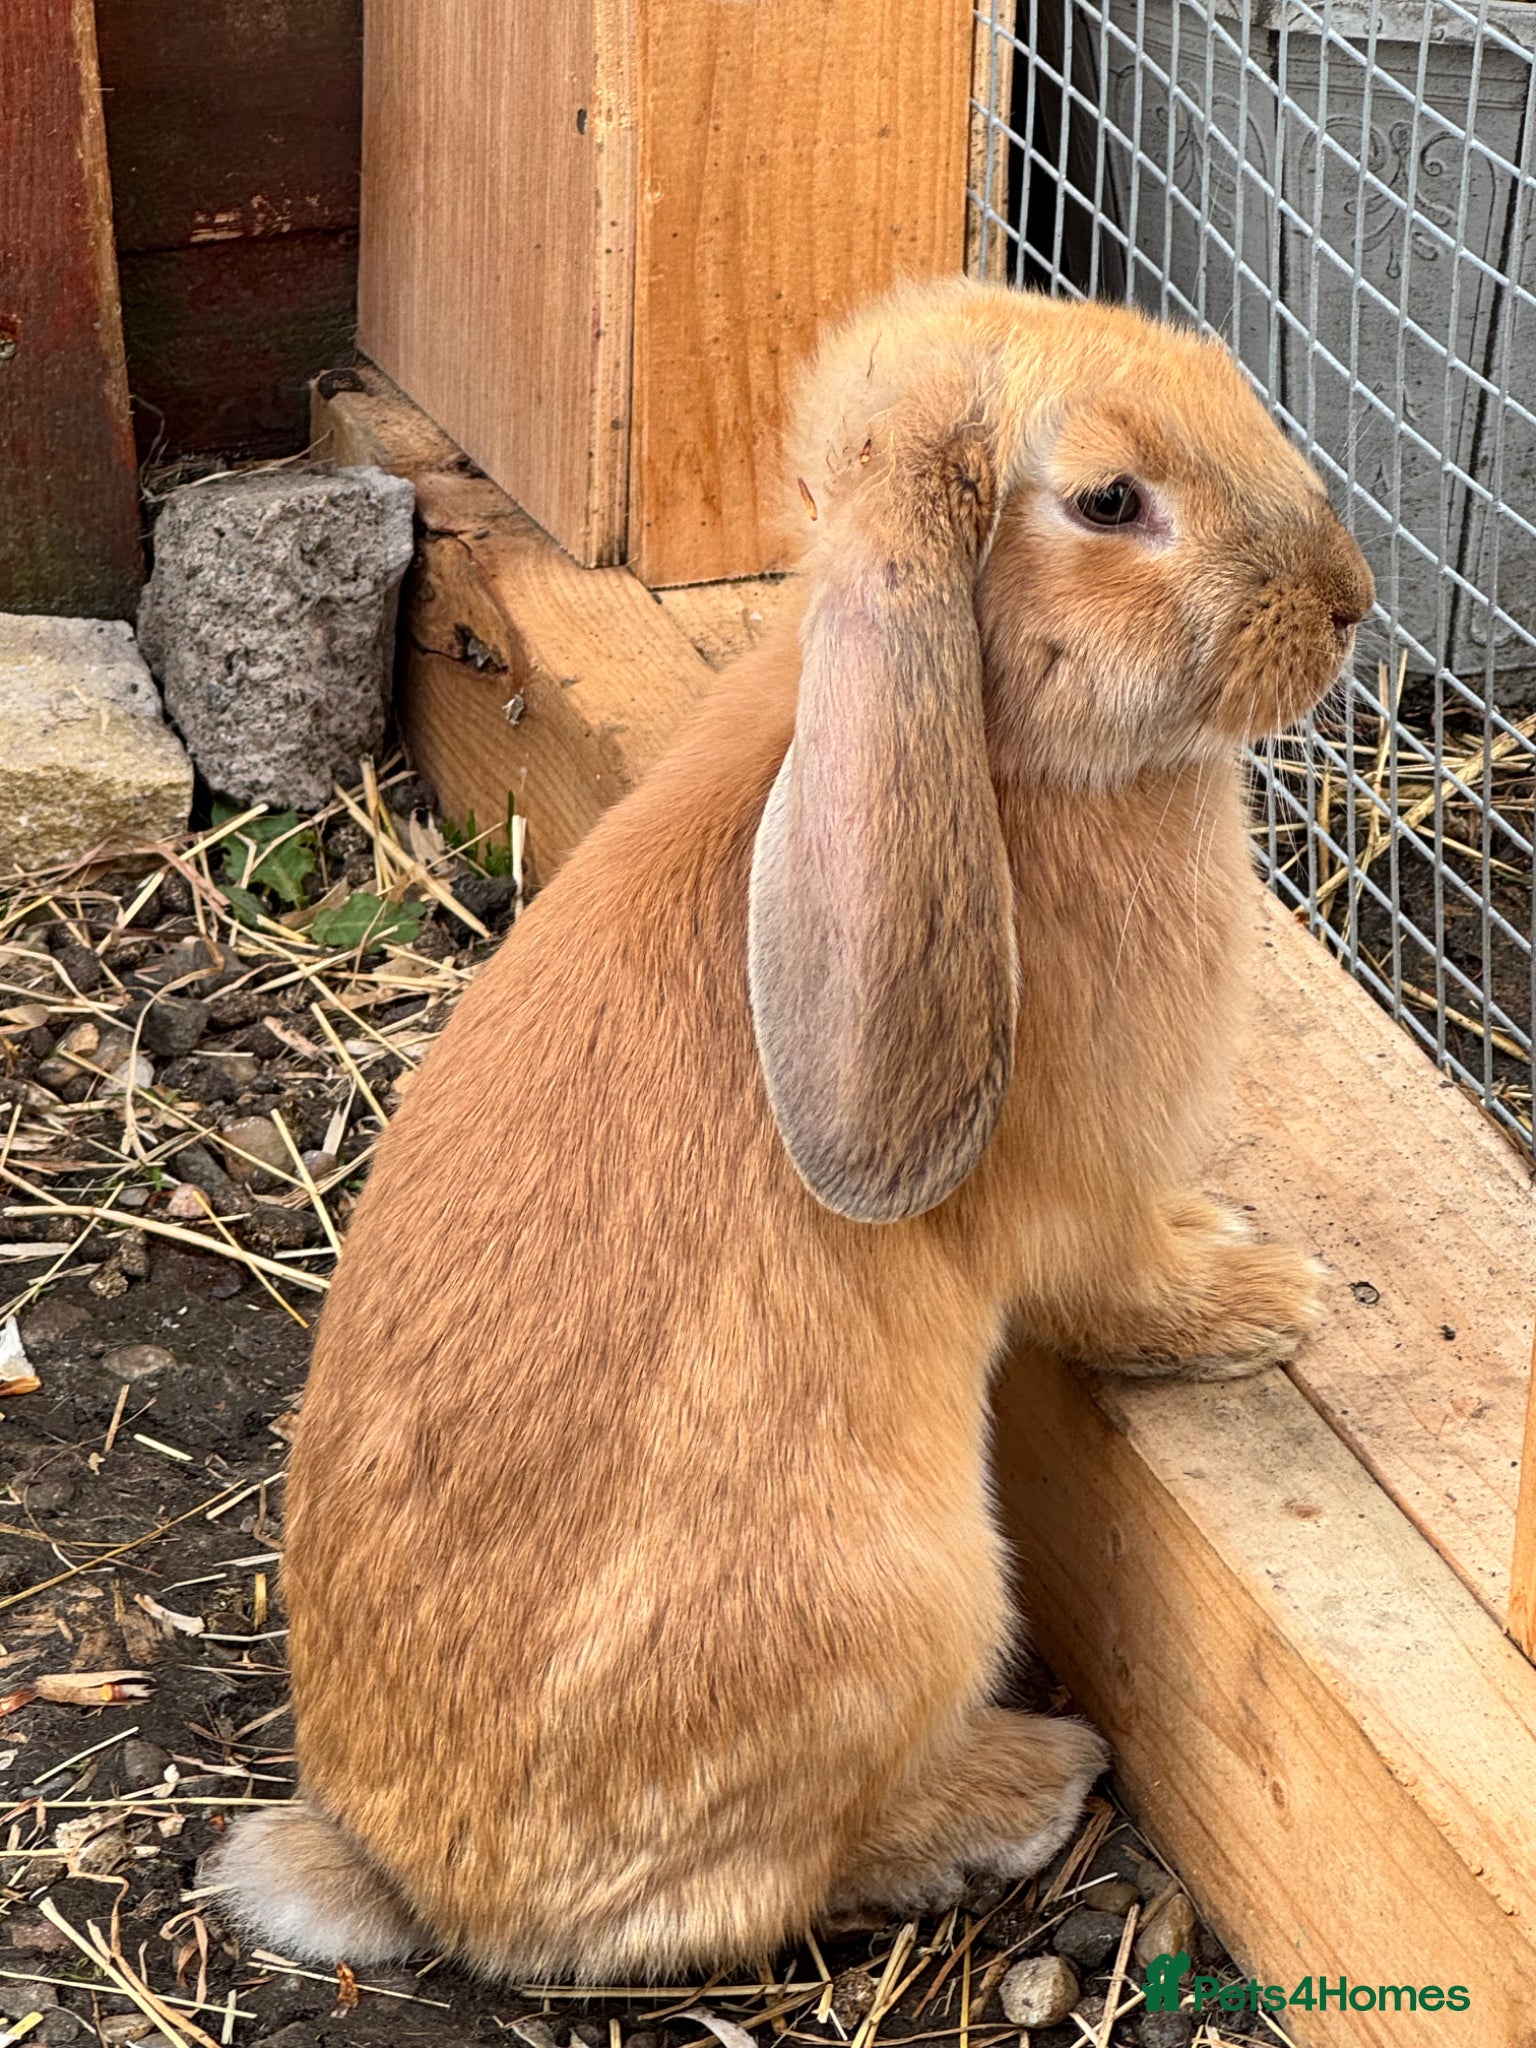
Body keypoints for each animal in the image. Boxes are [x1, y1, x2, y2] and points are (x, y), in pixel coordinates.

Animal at [208, 277, 1373, 1981]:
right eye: (1109, 502)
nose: (1350, 600)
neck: (991, 735)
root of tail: (414, 1878)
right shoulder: (1086, 1188)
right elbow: (1127, 1288)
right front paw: (1267, 1300)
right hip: (908, 1603)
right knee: (774, 1879)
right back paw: (1017, 1789)